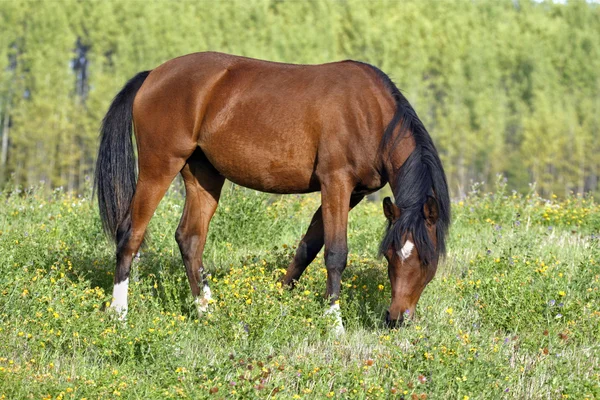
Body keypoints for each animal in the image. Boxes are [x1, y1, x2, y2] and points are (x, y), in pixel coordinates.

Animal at [94, 51, 450, 330]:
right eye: (390, 255)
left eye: (428, 259)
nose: (396, 319)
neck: (368, 113)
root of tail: (153, 74)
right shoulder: (336, 183)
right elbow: (335, 253)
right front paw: (335, 323)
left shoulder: (352, 193)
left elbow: (308, 248)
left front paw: (278, 301)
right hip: (160, 165)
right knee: (131, 234)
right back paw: (119, 315)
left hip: (203, 175)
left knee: (190, 239)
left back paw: (207, 313)